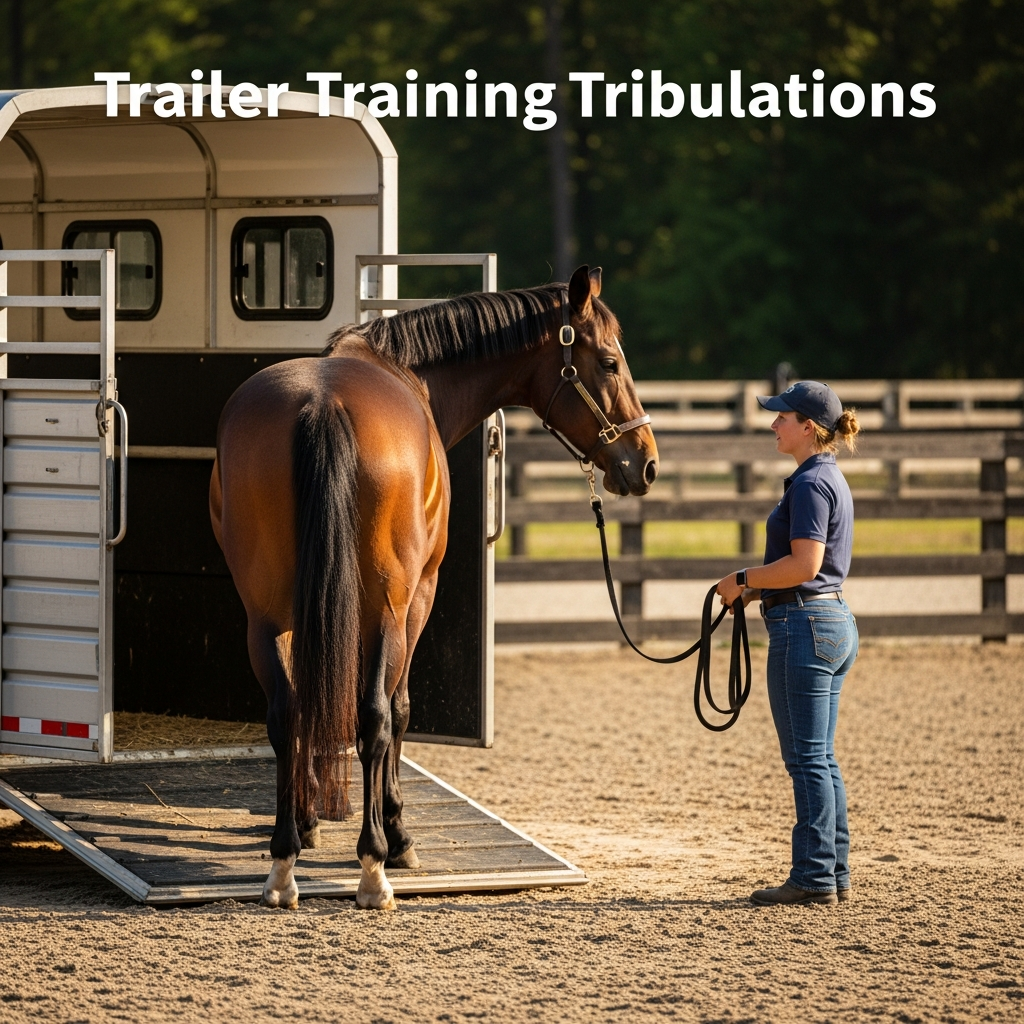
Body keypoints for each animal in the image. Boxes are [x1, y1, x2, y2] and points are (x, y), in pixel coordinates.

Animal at [209, 264, 658, 910]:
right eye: (608, 361)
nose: (645, 463)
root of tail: (322, 404)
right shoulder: (417, 596)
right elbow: (396, 711)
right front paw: (397, 836)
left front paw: (311, 820)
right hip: (387, 609)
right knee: (373, 715)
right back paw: (374, 866)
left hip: (267, 615)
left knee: (286, 713)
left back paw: (283, 862)